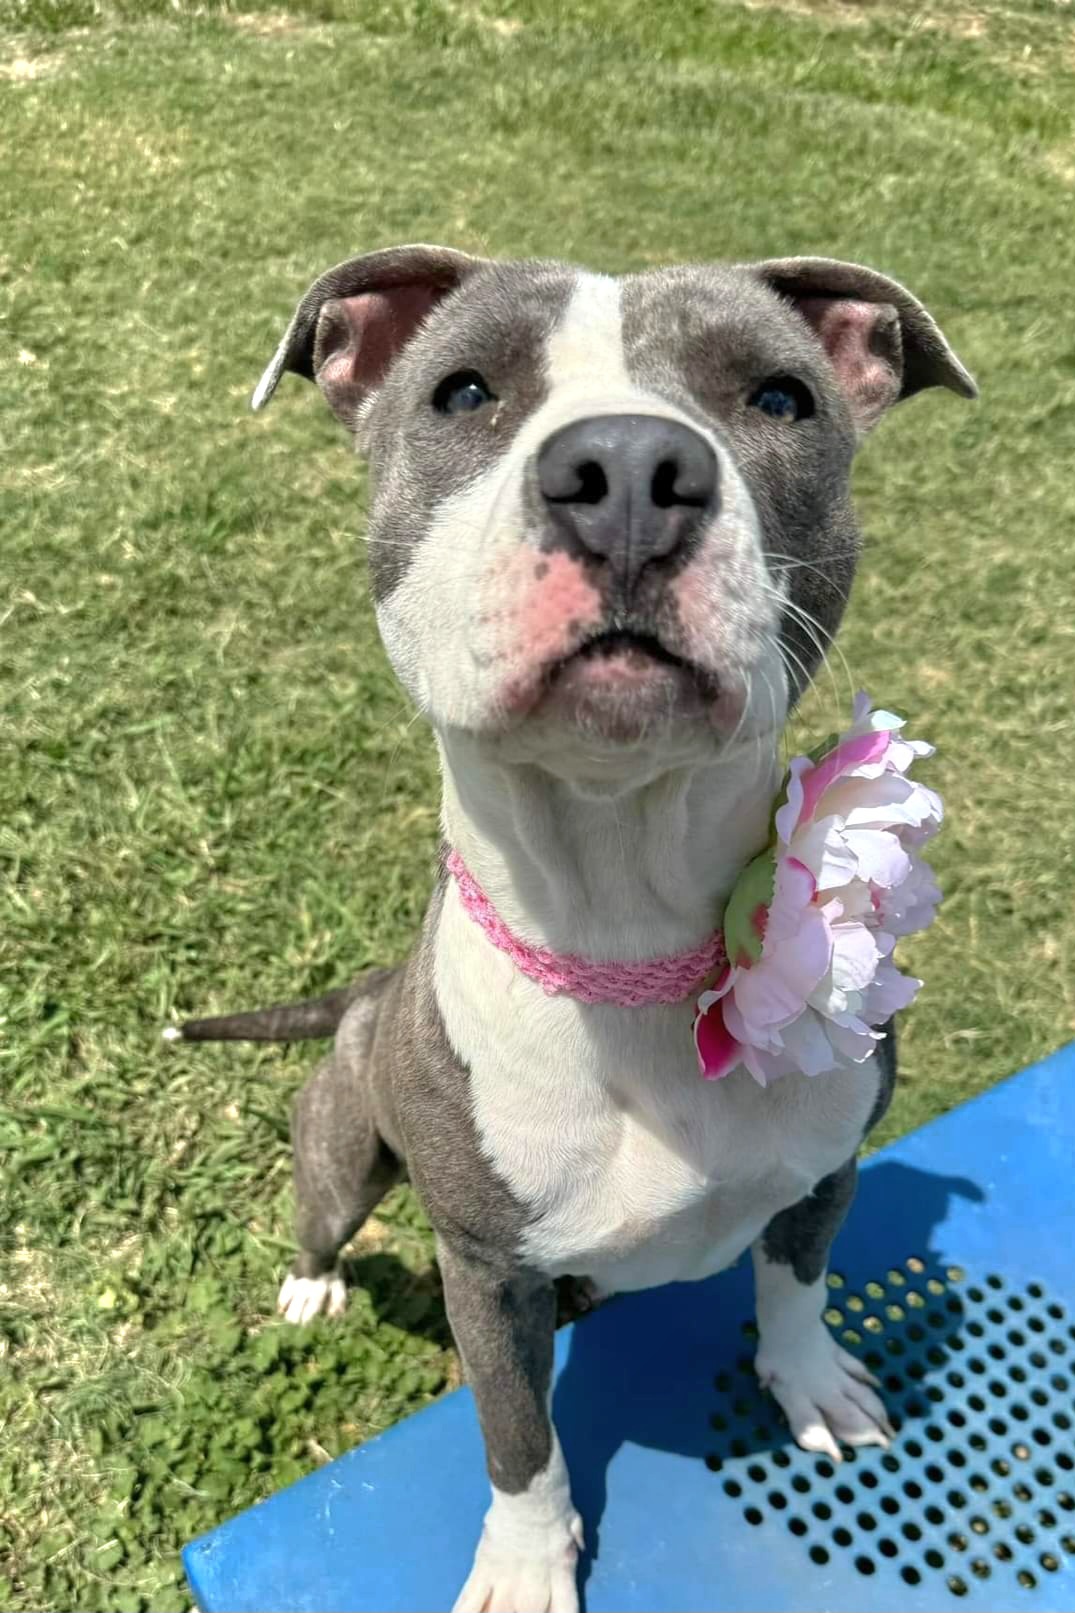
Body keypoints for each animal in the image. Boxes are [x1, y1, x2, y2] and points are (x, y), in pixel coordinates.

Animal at [171, 241, 974, 1613]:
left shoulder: (826, 1166)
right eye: (463, 390)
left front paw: (812, 1381)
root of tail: (372, 987)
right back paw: (315, 1281)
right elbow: (519, 1439)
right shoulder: (487, 1278)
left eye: (777, 398)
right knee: (324, 1214)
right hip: (344, 1150)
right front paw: (524, 1561)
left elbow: (795, 1284)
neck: (626, 933)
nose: (632, 472)